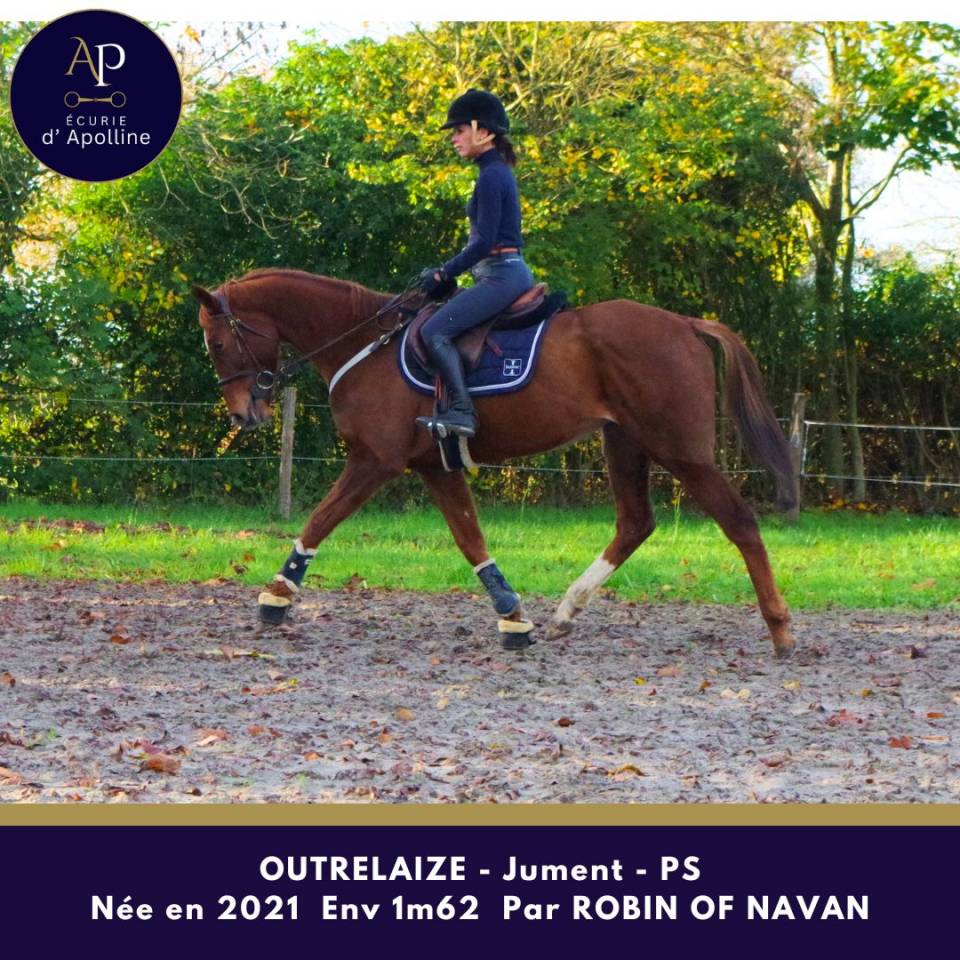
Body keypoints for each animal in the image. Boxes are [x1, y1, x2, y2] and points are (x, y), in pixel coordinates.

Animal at [191, 268, 797, 657]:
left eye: (216, 343)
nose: (244, 414)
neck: (366, 344)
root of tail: (687, 323)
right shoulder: (436, 467)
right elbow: (470, 539)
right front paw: (513, 617)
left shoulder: (374, 460)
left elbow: (321, 519)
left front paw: (276, 596)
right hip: (624, 442)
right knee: (635, 523)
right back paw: (565, 614)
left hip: (680, 450)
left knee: (740, 523)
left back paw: (780, 630)